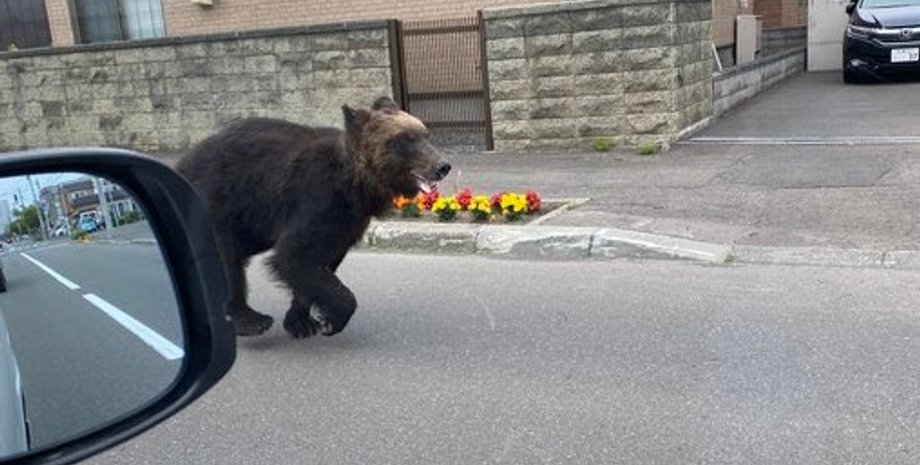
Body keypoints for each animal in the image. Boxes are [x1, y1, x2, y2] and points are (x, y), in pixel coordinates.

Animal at [175, 97, 451, 337]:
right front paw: (332, 319)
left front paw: (302, 322)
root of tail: (181, 163)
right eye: (404, 139)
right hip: (217, 202)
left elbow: (316, 264)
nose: (442, 166)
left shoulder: (346, 223)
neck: (355, 186)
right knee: (225, 260)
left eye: (425, 134)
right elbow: (294, 256)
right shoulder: (315, 202)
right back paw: (250, 320)